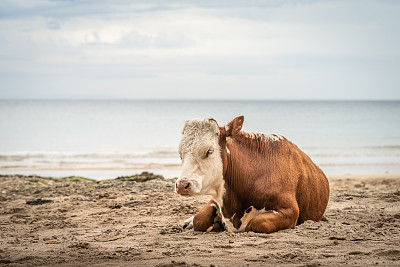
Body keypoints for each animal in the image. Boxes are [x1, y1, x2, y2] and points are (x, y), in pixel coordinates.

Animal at [174, 116, 328, 233]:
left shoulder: (290, 210)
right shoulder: (217, 200)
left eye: (209, 151)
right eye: (180, 152)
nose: (182, 185)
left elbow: (256, 223)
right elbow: (199, 219)